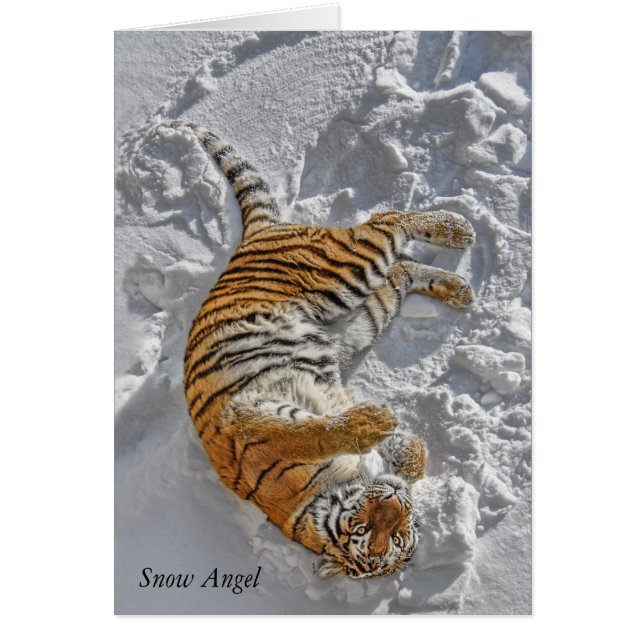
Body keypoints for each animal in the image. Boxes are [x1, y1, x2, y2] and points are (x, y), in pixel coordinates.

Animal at [156, 121, 475, 579]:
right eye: (365, 533)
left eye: (399, 536)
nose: (392, 503)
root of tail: (256, 235)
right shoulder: (250, 424)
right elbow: (312, 433)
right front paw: (380, 429)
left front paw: (401, 446)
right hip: (352, 293)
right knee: (394, 245)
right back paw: (457, 257)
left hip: (347, 290)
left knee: (394, 236)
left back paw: (457, 250)